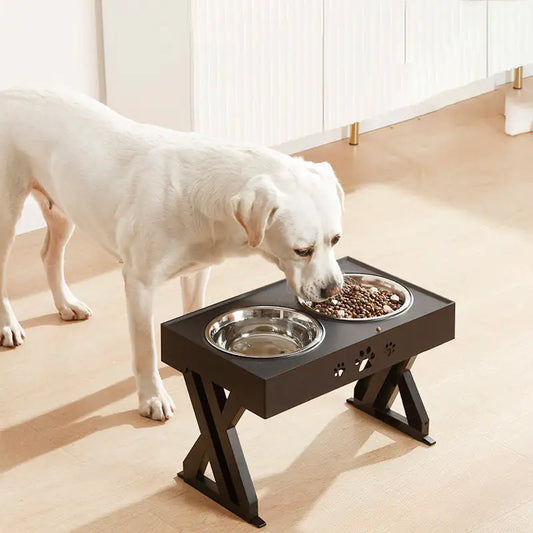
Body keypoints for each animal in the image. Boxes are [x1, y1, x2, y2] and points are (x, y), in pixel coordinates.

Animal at [0, 88, 344, 420]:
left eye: (336, 239)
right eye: (302, 250)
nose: (333, 289)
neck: (209, 194)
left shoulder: (197, 271)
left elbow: (192, 310)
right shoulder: (139, 284)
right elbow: (146, 349)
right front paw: (152, 398)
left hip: (62, 209)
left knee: (49, 255)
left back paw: (66, 304)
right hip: (7, 219)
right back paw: (8, 326)